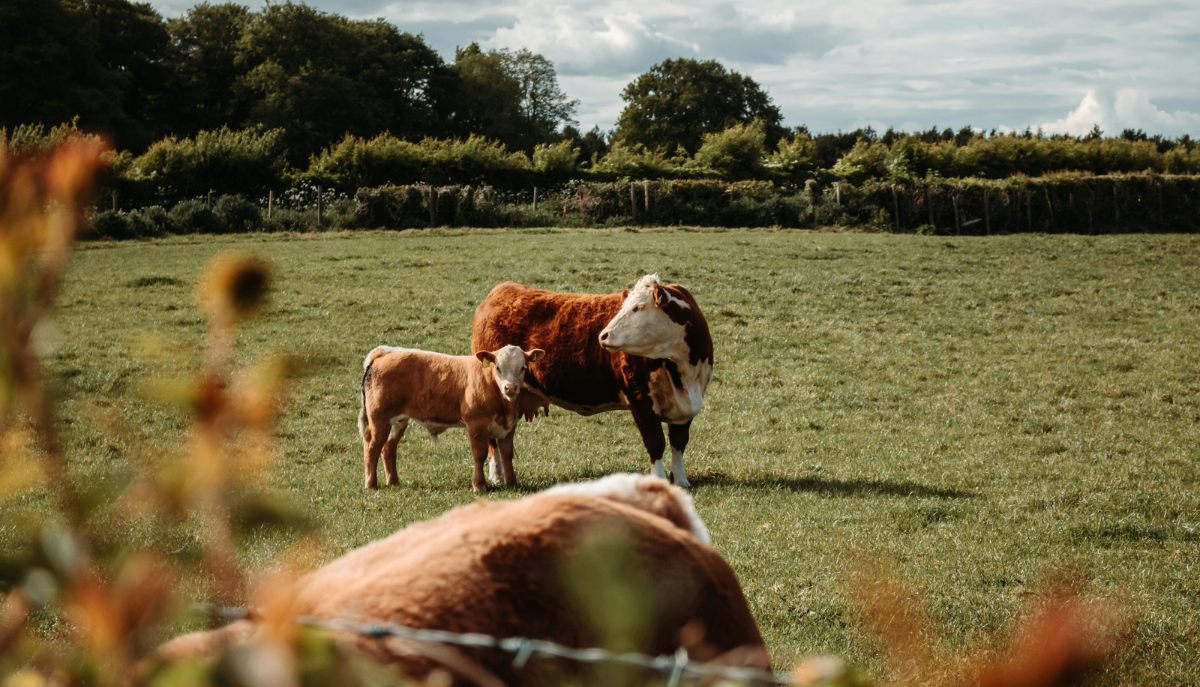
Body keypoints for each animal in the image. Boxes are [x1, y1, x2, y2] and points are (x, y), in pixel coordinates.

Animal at [359, 344, 544, 491]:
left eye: (523, 368)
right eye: (498, 368)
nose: (510, 388)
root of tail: (385, 352)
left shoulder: (508, 426)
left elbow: (507, 454)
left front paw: (511, 483)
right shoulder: (476, 423)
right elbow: (480, 454)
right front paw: (479, 485)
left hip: (398, 420)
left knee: (388, 447)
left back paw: (393, 481)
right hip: (379, 419)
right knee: (372, 445)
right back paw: (371, 484)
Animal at [470, 274, 712, 487]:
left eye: (638, 307)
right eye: (624, 307)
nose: (603, 335)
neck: (683, 372)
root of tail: (503, 288)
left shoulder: (688, 405)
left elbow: (678, 443)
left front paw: (681, 480)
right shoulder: (640, 398)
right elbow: (656, 442)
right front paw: (660, 481)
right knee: (493, 440)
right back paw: (496, 476)